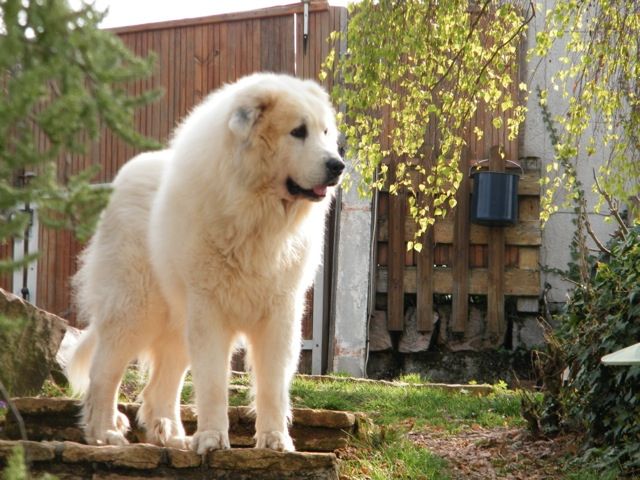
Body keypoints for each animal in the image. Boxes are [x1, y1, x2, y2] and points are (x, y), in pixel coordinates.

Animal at [67, 73, 342, 452]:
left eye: (326, 132)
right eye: (298, 131)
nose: (338, 165)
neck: (255, 214)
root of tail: (124, 176)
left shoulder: (280, 311)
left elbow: (272, 384)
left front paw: (275, 440)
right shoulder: (209, 308)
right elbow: (212, 381)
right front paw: (212, 438)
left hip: (176, 323)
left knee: (159, 386)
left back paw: (172, 437)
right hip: (136, 308)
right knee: (104, 373)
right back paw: (104, 432)